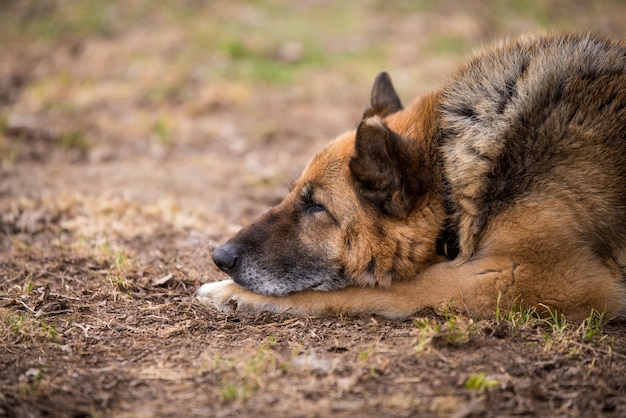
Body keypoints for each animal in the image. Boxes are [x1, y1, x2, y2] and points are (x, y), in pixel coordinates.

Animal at [196, 33, 624, 320]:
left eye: (317, 206)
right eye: (292, 193)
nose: (220, 258)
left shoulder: (529, 277)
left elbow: (374, 288)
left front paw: (231, 292)